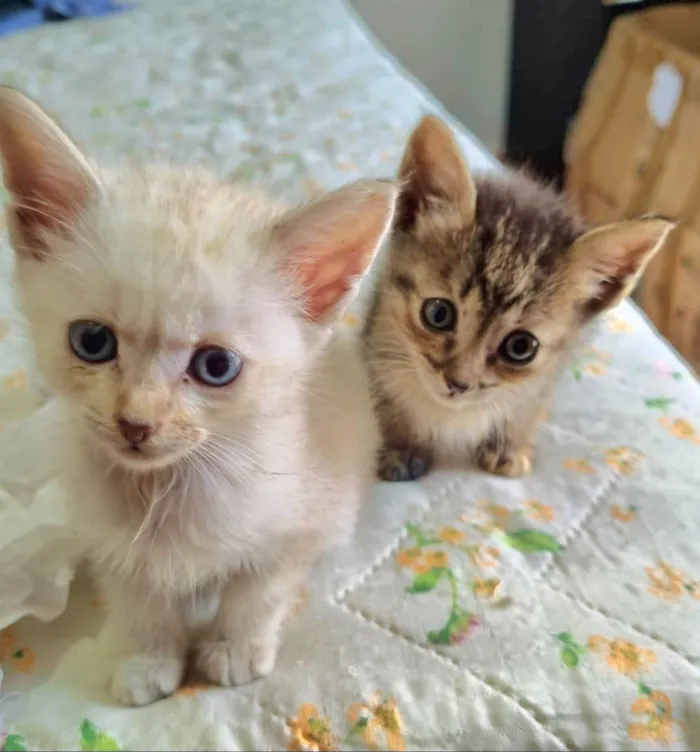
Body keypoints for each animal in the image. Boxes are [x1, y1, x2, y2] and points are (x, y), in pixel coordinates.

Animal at [0, 86, 394, 704]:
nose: (135, 422)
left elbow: (258, 590)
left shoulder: (300, 523)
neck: (166, 490)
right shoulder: (109, 538)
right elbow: (138, 599)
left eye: (216, 366)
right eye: (92, 341)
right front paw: (148, 660)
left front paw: (234, 649)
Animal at [364, 116, 668, 482]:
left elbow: (526, 407)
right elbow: (385, 395)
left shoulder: (542, 381)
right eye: (438, 314)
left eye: (520, 347)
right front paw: (402, 444)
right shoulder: (376, 338)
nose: (458, 384)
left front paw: (507, 447)